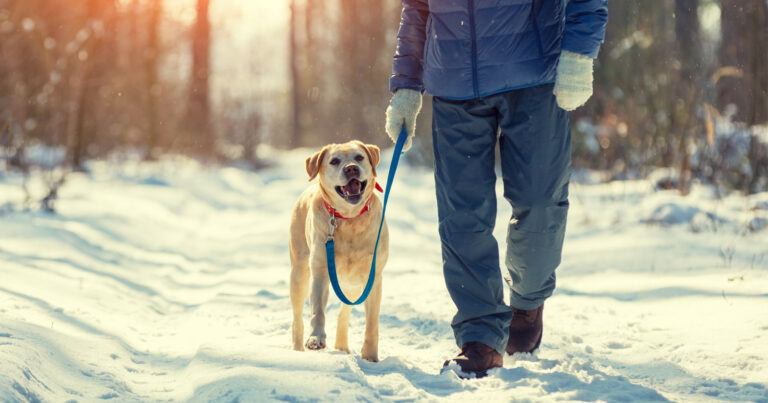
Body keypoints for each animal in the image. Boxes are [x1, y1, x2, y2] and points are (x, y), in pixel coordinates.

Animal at [292, 140, 392, 362]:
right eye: (335, 161)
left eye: (359, 157)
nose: (351, 168)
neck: (349, 218)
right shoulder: (320, 270)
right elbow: (317, 310)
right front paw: (316, 339)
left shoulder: (374, 277)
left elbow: (372, 322)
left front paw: (370, 356)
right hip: (299, 271)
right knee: (297, 316)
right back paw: (297, 348)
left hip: (352, 284)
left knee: (344, 312)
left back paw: (342, 345)